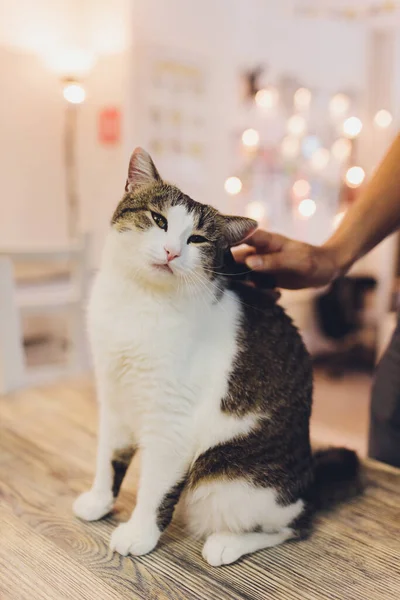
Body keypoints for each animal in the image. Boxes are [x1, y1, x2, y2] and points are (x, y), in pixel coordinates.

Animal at [72, 148, 362, 564]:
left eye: (197, 239)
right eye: (158, 219)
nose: (172, 251)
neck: (140, 301)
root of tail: (308, 480)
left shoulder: (173, 420)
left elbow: (155, 488)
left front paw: (140, 532)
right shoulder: (114, 396)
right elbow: (108, 456)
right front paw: (99, 500)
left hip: (226, 478)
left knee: (294, 524)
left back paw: (227, 542)